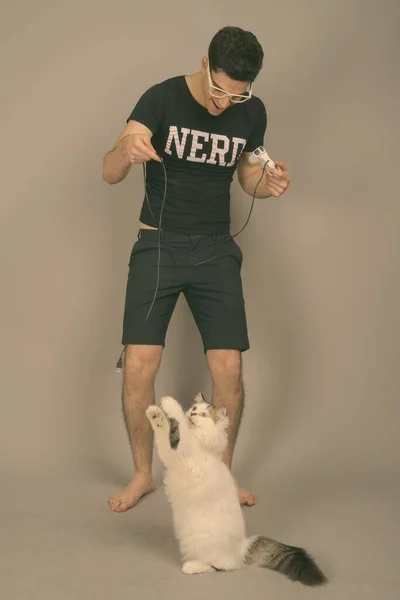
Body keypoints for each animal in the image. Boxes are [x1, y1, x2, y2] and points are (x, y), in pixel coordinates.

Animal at [145, 394, 326, 584]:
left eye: (203, 415)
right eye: (194, 409)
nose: (193, 414)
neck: (201, 441)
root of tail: (242, 547)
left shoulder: (186, 450)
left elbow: (179, 422)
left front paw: (169, 404)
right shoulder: (171, 455)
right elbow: (163, 432)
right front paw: (155, 414)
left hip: (204, 547)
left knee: (221, 567)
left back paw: (190, 567)